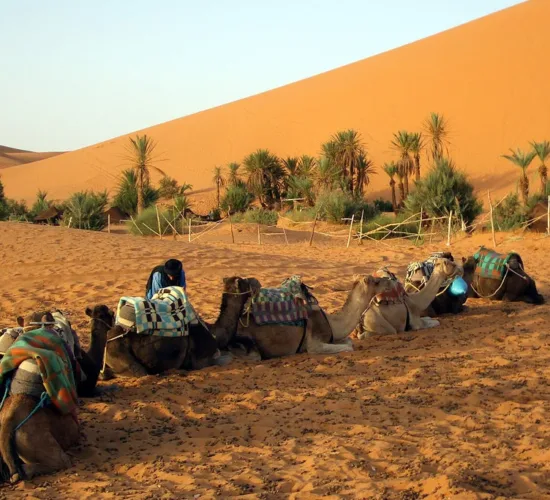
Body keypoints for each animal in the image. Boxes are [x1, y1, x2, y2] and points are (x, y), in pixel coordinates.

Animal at [102, 276, 258, 376]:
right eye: (245, 282)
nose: (256, 282)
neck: (214, 331)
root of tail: (108, 337)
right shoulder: (201, 361)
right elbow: (227, 358)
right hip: (120, 354)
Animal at [235, 274, 394, 360]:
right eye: (376, 281)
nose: (389, 279)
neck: (331, 322)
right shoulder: (314, 344)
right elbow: (349, 346)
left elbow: (348, 341)